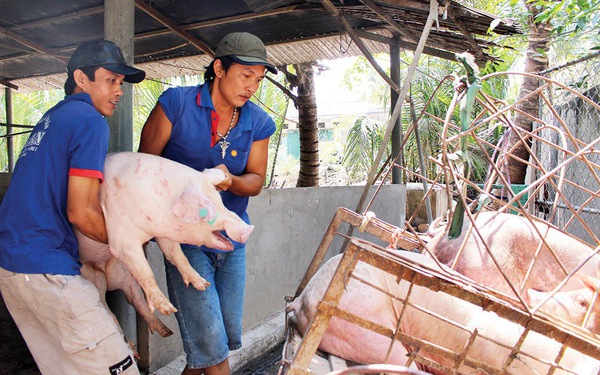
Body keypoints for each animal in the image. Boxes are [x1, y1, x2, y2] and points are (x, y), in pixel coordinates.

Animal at [75, 151, 253, 316]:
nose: (249, 228)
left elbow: (177, 254)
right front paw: (169, 310)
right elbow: (145, 271)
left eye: (220, 201)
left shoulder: (164, 231)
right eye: (206, 208)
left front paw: (203, 285)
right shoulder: (121, 239)